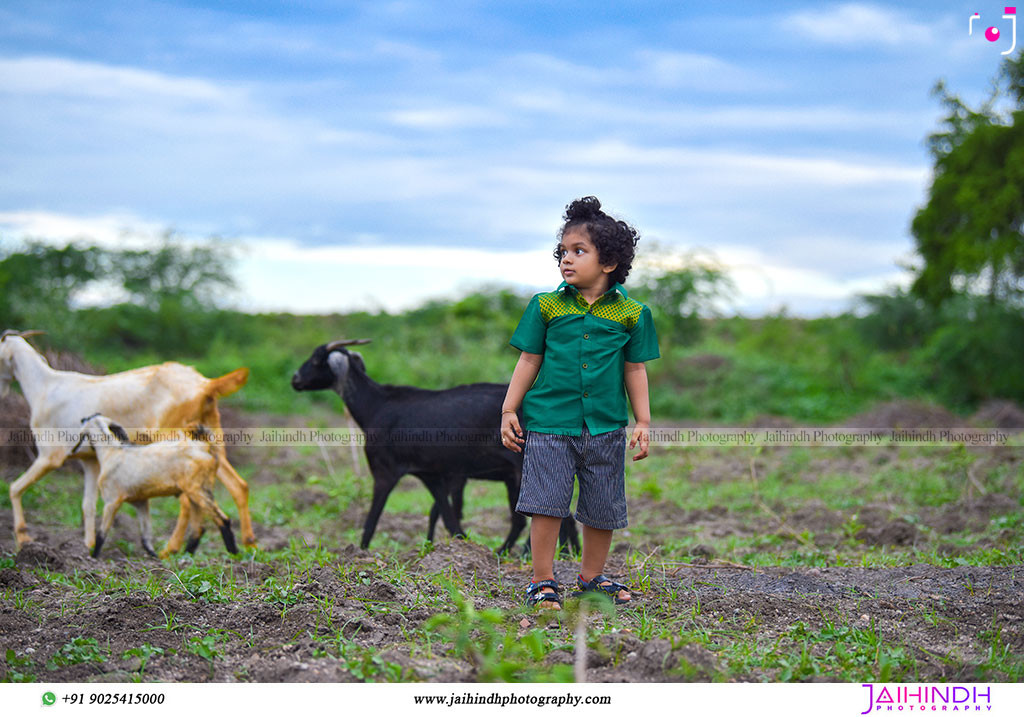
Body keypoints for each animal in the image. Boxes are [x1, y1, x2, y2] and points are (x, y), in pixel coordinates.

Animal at [74, 411, 237, 557]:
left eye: (88, 419)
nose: (81, 419)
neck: (111, 453)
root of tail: (204, 445)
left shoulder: (111, 501)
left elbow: (102, 534)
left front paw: (94, 557)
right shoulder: (141, 502)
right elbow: (146, 536)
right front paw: (154, 557)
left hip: (197, 490)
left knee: (223, 520)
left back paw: (233, 553)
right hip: (199, 492)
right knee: (198, 528)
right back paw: (187, 556)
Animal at [292, 338, 581, 553]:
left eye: (316, 359)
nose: (295, 379)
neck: (376, 406)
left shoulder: (385, 471)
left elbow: (372, 520)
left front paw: (360, 554)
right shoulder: (431, 473)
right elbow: (447, 516)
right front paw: (458, 547)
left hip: (523, 469)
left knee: (544, 516)